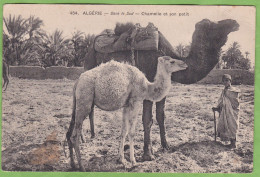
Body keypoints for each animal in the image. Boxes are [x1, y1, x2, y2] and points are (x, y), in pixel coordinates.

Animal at [83, 19, 240, 160]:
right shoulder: (146, 88)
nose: (234, 23)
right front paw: (148, 154)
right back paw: (84, 139)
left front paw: (166, 146)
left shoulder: (161, 91)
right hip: (89, 66)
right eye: (211, 25)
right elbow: (147, 119)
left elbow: (161, 116)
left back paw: (93, 134)